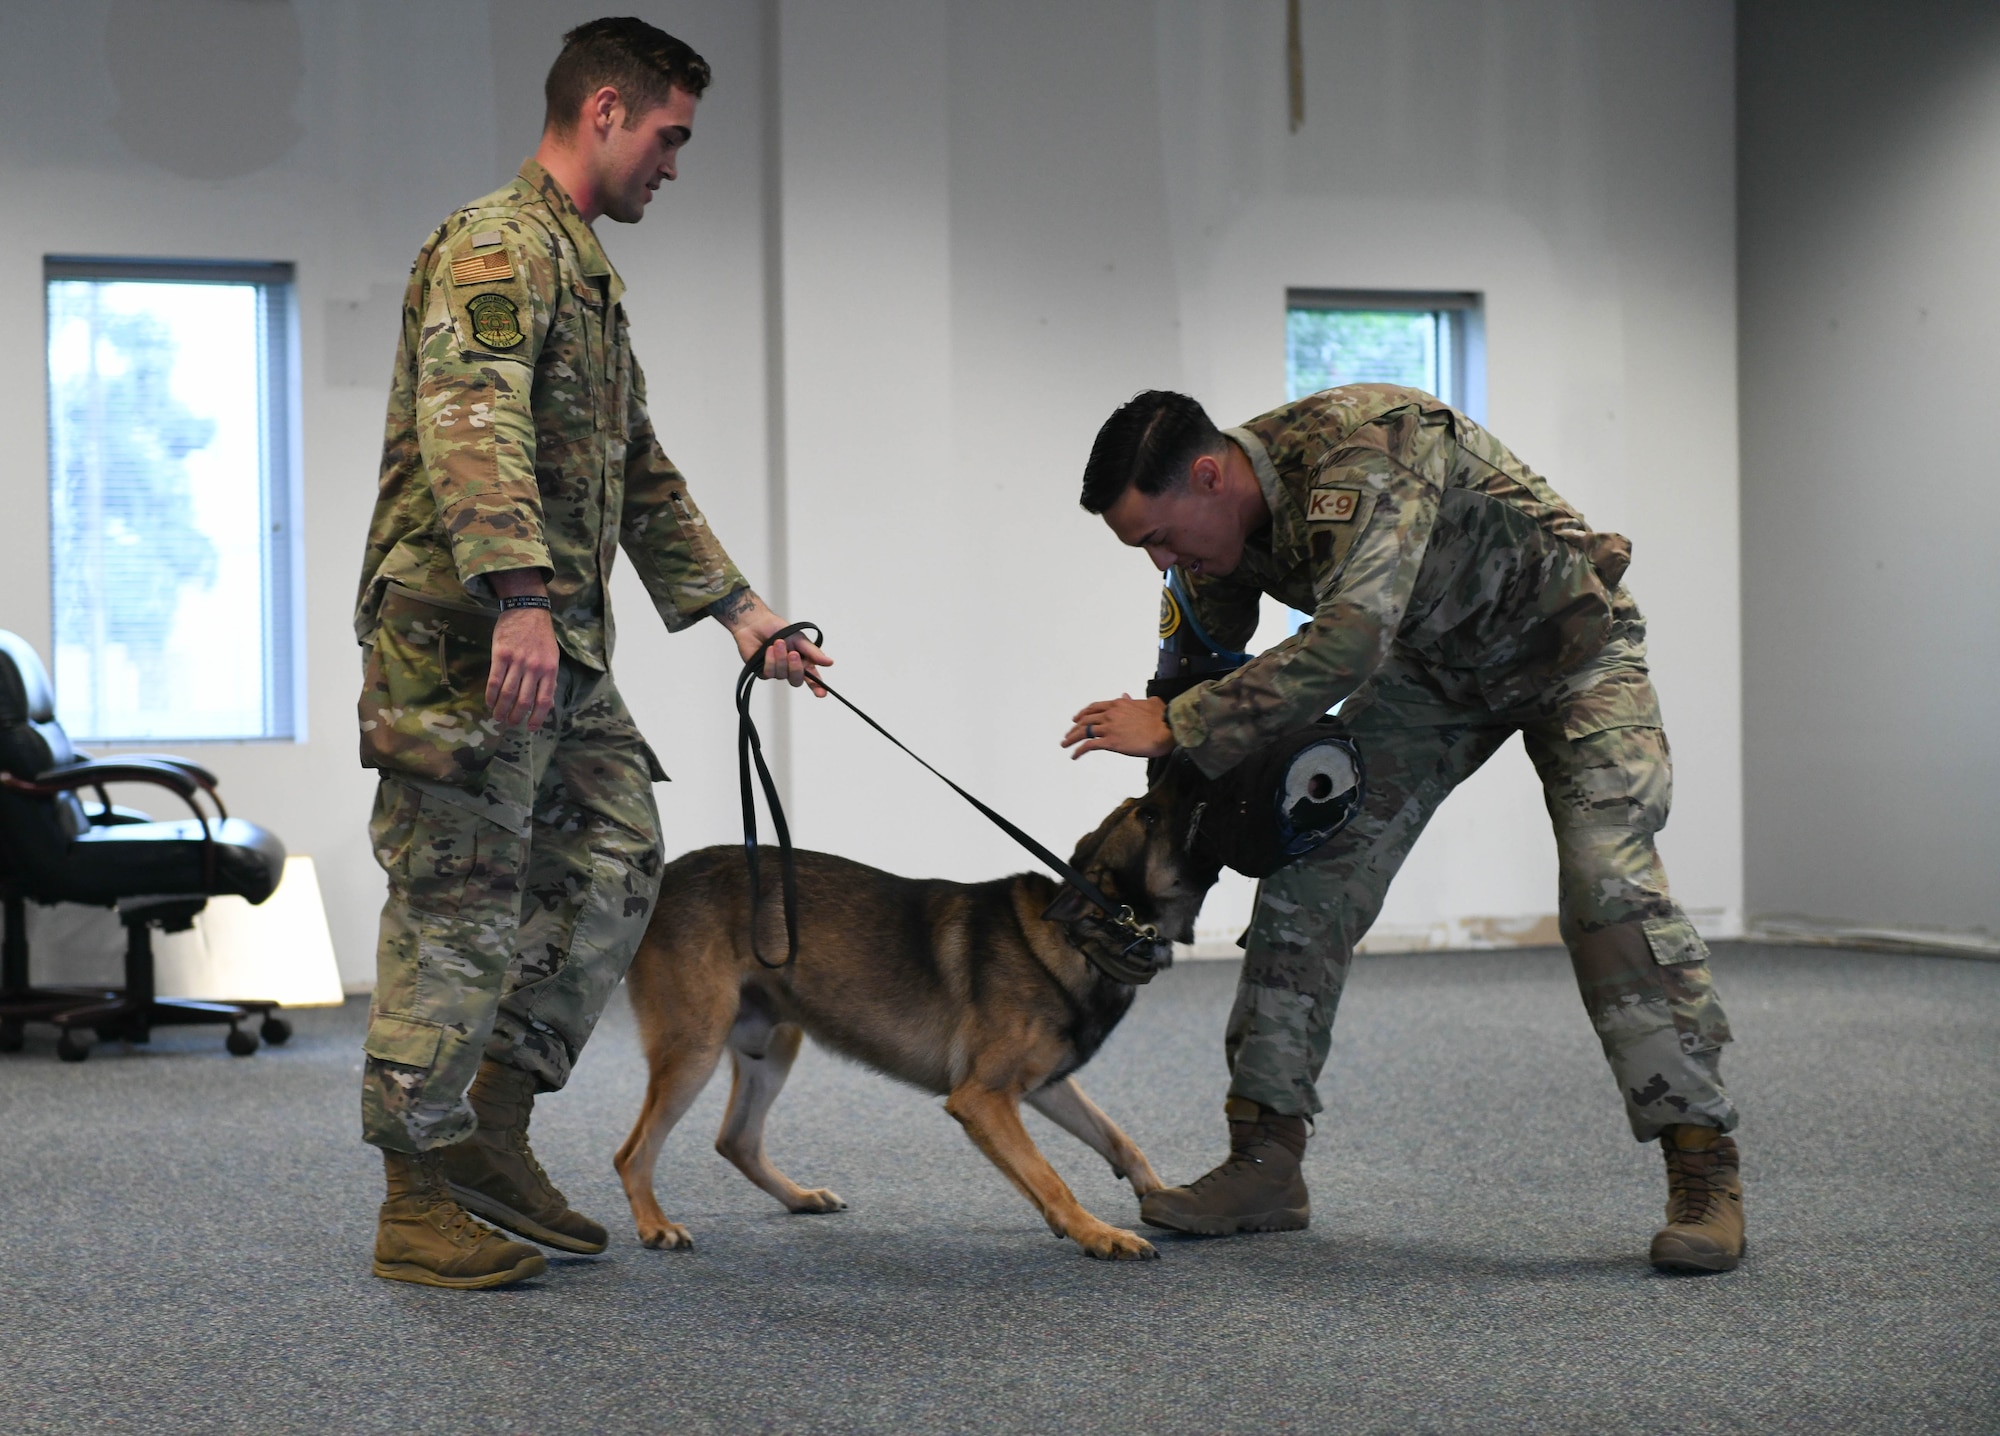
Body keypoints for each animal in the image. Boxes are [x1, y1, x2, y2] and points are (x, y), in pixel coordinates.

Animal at [612, 776, 1216, 1264]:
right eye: (1150, 815)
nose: (1187, 761)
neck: (1083, 939)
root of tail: (664, 879)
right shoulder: (983, 1100)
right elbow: (1051, 1178)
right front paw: (1098, 1234)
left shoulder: (1044, 1088)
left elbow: (1119, 1140)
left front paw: (1157, 1194)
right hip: (695, 1047)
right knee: (633, 1153)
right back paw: (656, 1227)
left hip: (774, 1046)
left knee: (735, 1140)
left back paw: (800, 1198)